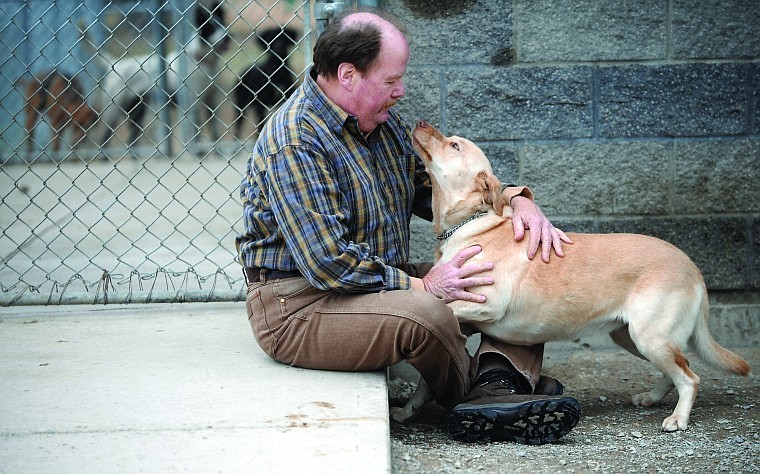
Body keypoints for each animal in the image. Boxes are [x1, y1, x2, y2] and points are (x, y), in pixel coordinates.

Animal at [400, 119, 752, 434]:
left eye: (454, 145)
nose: (419, 122)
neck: (471, 223)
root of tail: (691, 265)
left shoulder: (487, 303)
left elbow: (441, 305)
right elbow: (427, 373)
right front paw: (410, 408)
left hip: (649, 337)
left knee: (690, 377)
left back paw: (678, 419)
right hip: (632, 337)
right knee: (679, 369)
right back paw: (651, 397)